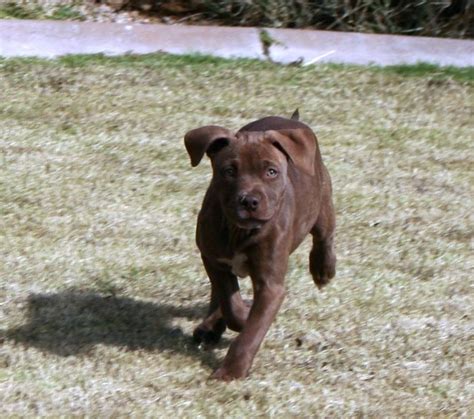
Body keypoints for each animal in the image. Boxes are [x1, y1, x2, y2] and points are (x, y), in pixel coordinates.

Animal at [183, 111, 336, 380]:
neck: (240, 231)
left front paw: (230, 372)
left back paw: (323, 269)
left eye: (271, 171)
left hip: (322, 203)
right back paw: (210, 326)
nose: (249, 201)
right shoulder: (214, 260)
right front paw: (241, 314)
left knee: (324, 236)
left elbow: (251, 332)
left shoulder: (270, 285)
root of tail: (290, 119)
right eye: (229, 171)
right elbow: (230, 303)